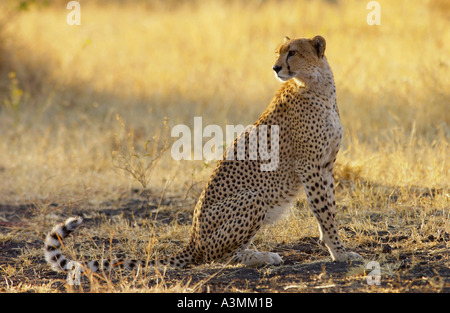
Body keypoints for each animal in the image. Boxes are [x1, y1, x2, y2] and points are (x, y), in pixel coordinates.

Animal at [44, 34, 362, 272]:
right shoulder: (311, 166)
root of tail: (192, 241)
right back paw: (261, 257)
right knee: (219, 256)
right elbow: (325, 210)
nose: (275, 68)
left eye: (292, 52)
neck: (319, 86)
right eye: (278, 52)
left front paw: (332, 245)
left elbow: (328, 208)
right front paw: (340, 252)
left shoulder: (325, 165)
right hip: (253, 198)